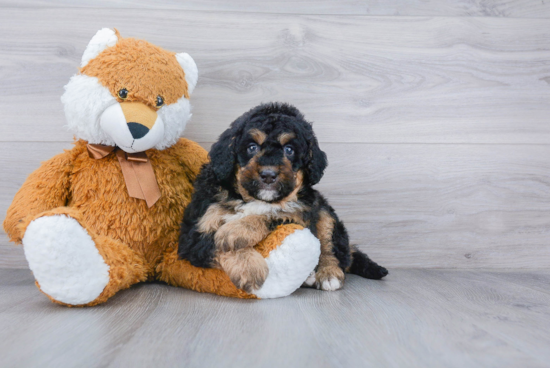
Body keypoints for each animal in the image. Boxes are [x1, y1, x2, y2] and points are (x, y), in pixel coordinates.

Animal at [180, 102, 388, 292]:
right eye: (252, 147)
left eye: (289, 150)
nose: (268, 175)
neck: (253, 198)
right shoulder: (194, 232)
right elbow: (214, 244)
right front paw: (250, 269)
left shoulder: (301, 214)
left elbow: (274, 214)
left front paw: (236, 230)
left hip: (323, 210)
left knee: (331, 247)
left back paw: (328, 274)